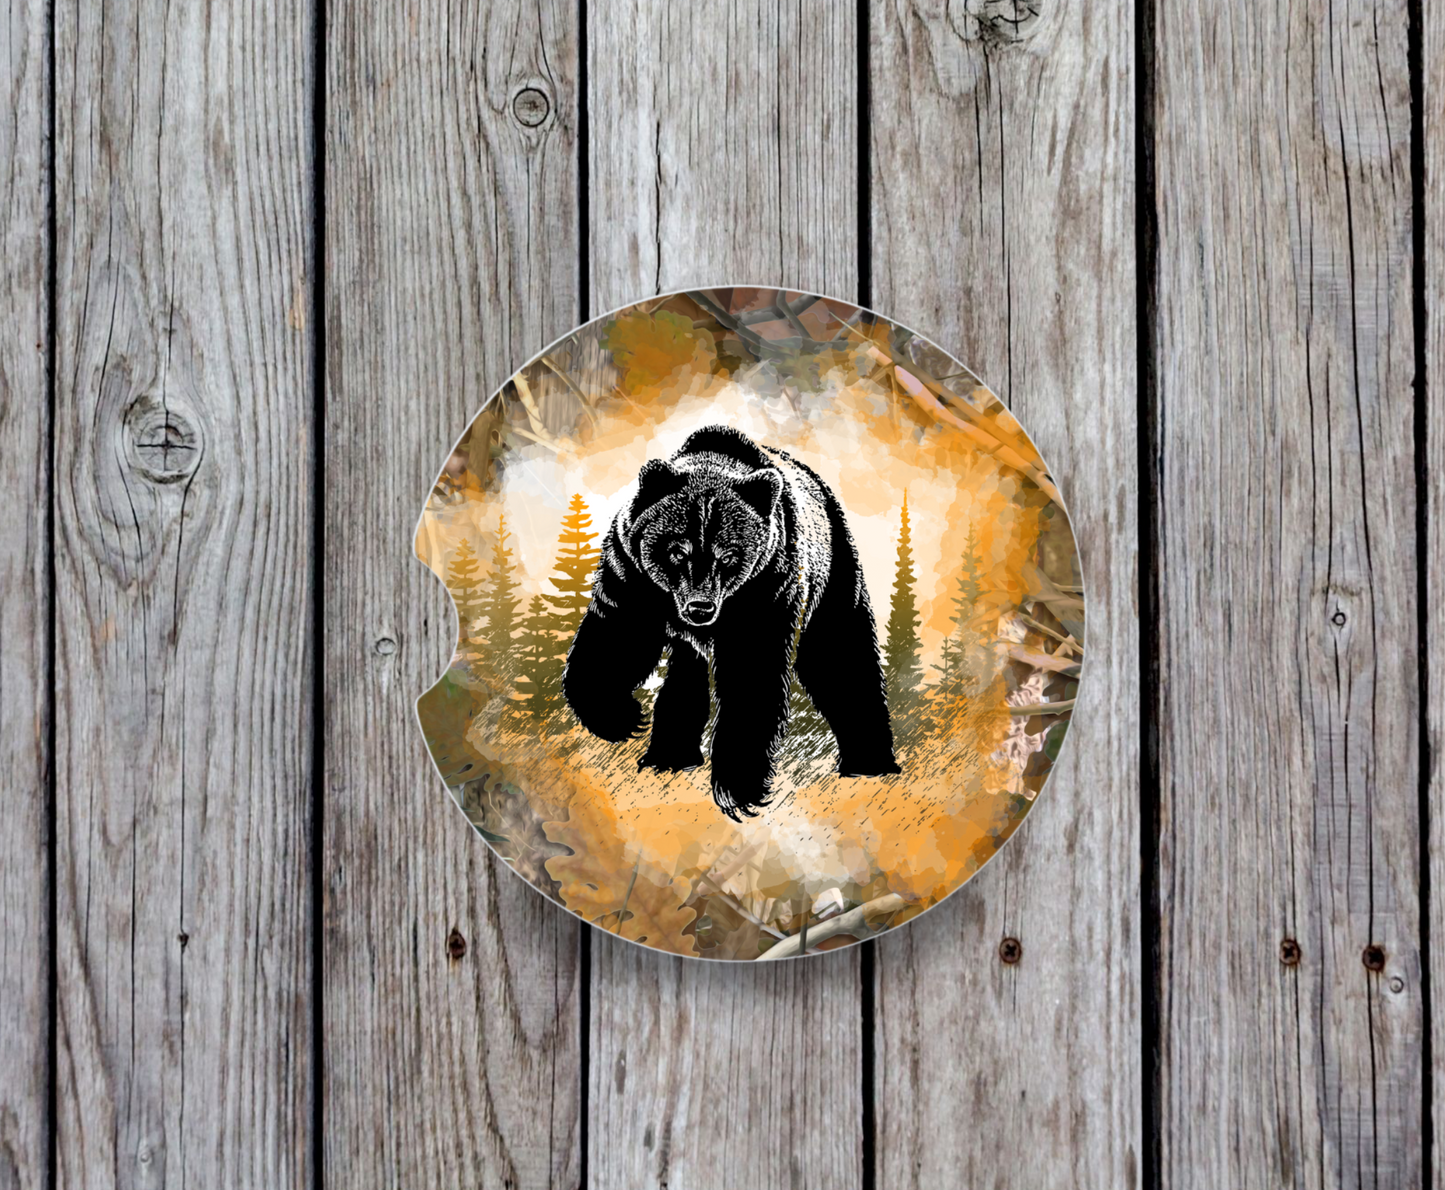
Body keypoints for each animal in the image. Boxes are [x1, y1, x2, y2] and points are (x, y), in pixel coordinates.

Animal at [562, 424, 901, 819]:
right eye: (677, 550)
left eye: (729, 555)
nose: (700, 608)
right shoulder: (634, 578)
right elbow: (614, 641)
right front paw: (622, 716)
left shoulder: (766, 589)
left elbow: (751, 678)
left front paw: (737, 788)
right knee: (686, 676)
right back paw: (670, 757)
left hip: (834, 571)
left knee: (843, 658)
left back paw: (870, 763)